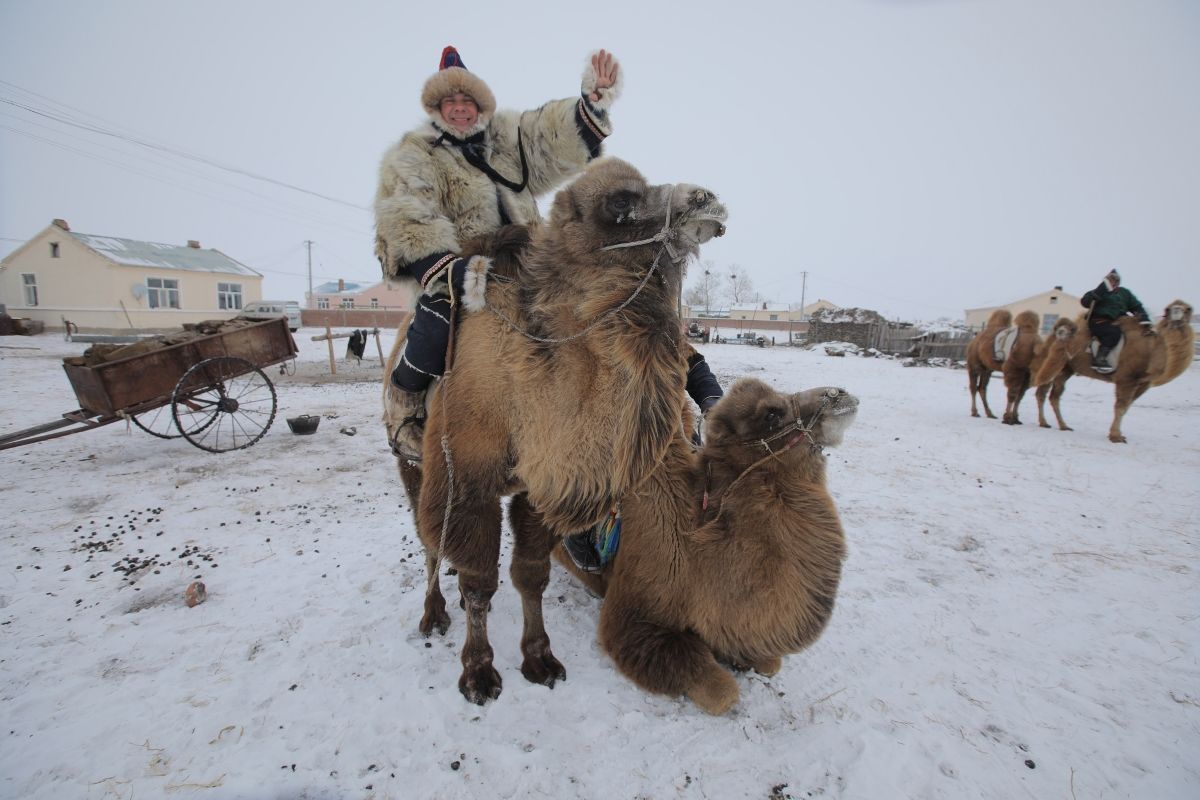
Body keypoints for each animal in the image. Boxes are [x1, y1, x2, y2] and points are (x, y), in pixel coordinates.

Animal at [384, 158, 724, 705]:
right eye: (620, 205)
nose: (706, 199)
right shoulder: (468, 477)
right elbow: (479, 582)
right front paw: (479, 673)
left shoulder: (540, 483)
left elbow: (531, 574)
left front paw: (540, 660)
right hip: (409, 459)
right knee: (427, 537)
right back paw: (433, 613)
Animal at [1032, 298, 1190, 441]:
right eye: (1168, 309)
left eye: (1188, 309)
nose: (1177, 311)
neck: (1151, 349)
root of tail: (1053, 334)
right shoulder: (1126, 378)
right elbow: (1121, 407)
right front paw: (1116, 436)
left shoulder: (1144, 383)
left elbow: (1127, 407)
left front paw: (1118, 434)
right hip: (1056, 365)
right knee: (1044, 392)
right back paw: (1046, 423)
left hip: (1066, 369)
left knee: (1053, 395)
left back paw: (1062, 425)